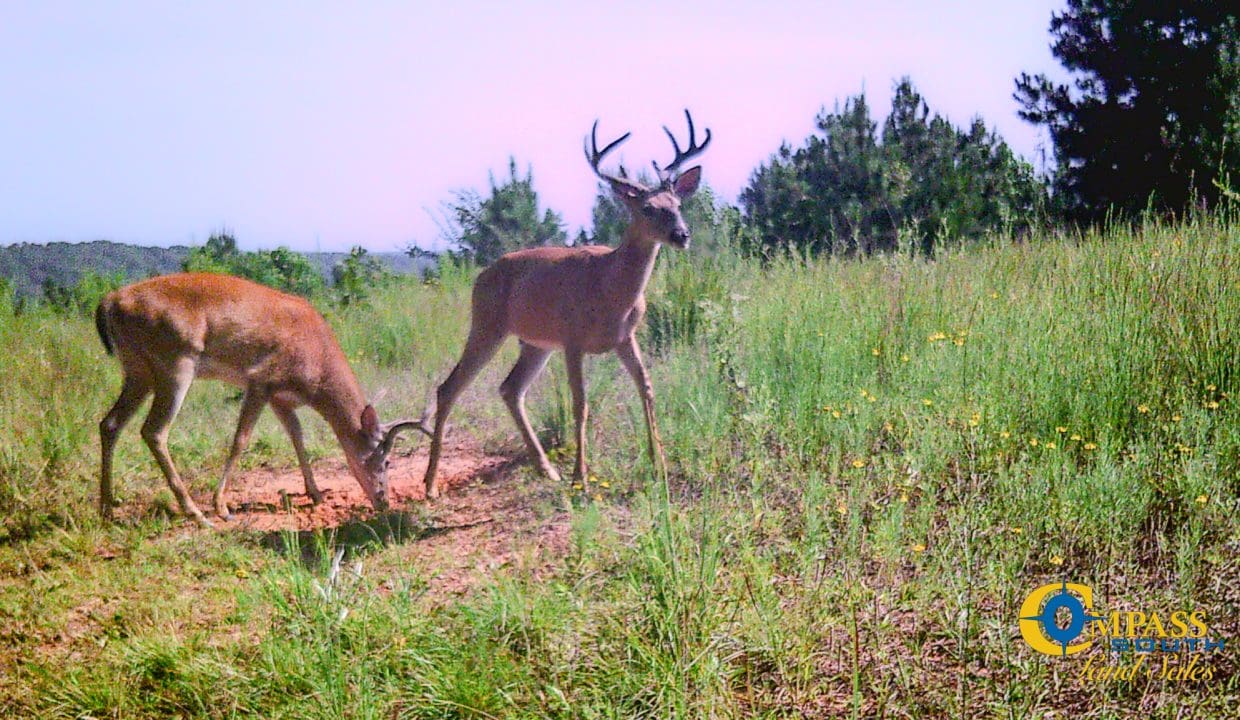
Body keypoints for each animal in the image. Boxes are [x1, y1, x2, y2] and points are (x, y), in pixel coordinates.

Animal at [94, 272, 429, 525]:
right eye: (386, 459)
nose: (383, 501)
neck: (318, 358)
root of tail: (109, 302)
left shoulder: (280, 398)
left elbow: (297, 436)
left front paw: (316, 493)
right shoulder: (260, 381)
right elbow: (240, 439)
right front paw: (222, 506)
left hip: (138, 372)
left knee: (110, 423)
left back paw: (108, 507)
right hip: (175, 365)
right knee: (154, 431)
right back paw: (196, 513)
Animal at [421, 109, 714, 498]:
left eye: (678, 206)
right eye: (648, 208)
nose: (682, 235)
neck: (611, 286)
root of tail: (482, 275)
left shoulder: (625, 337)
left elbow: (646, 388)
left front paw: (660, 466)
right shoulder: (573, 339)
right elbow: (581, 403)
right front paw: (581, 478)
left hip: (535, 343)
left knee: (510, 389)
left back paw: (546, 469)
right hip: (486, 324)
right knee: (449, 387)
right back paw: (430, 485)